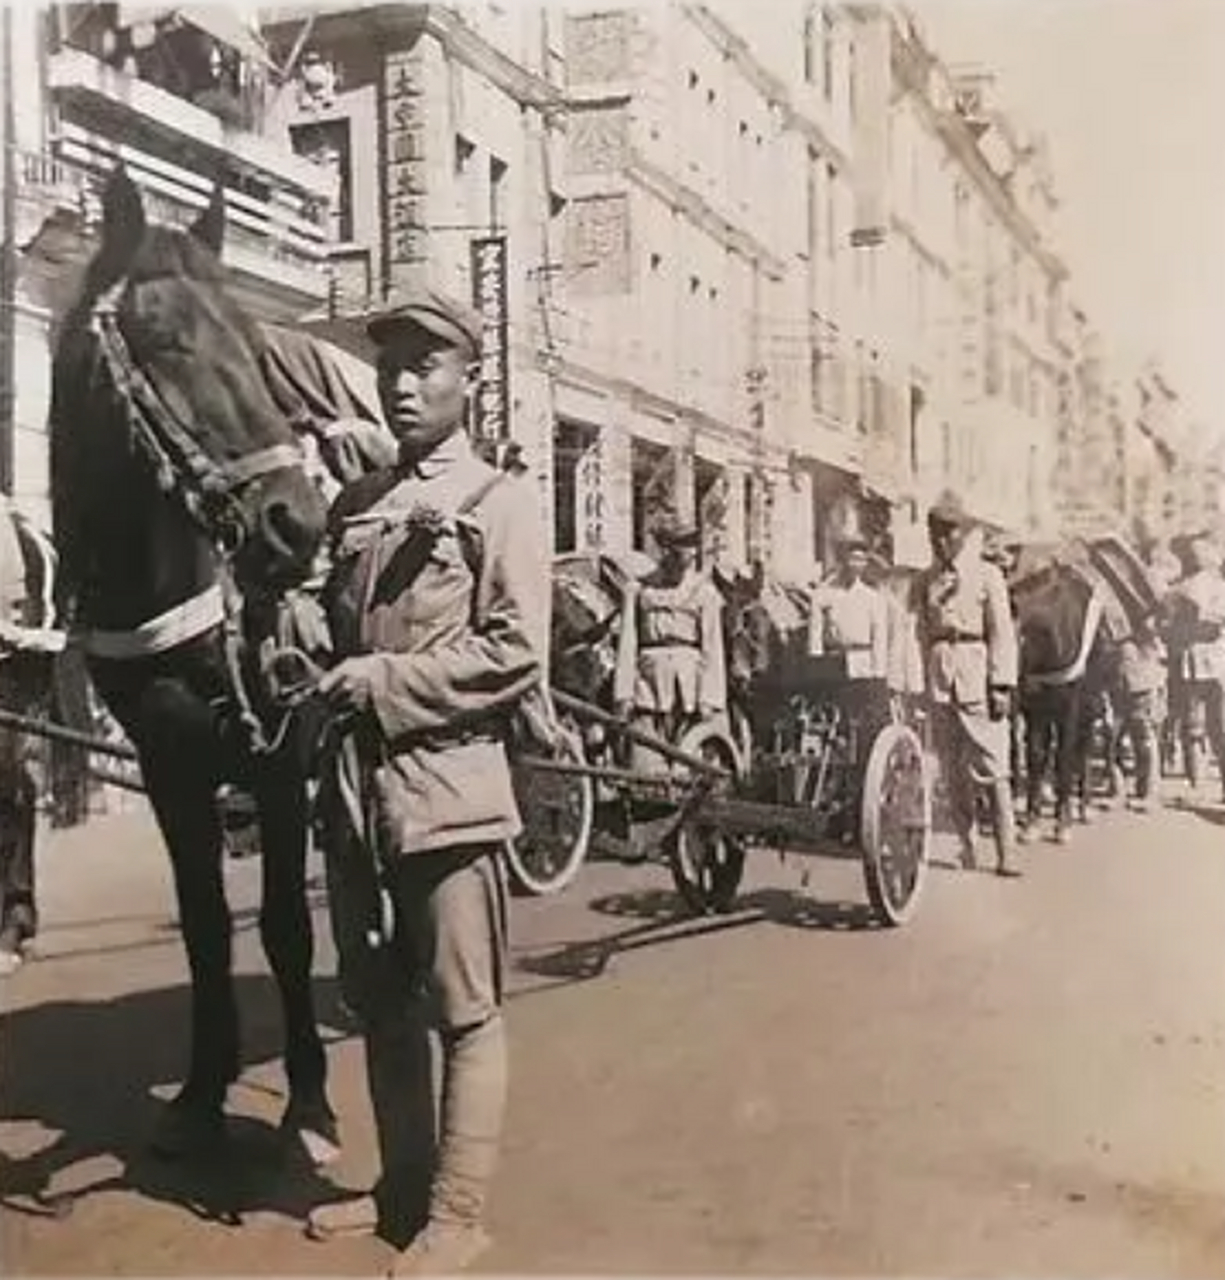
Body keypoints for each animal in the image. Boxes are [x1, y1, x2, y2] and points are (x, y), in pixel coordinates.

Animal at [49, 170, 337, 1162]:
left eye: (256, 346)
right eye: (167, 337)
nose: (298, 524)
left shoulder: (282, 758)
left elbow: (285, 926)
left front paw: (308, 1105)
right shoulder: (171, 766)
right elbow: (208, 930)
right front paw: (202, 1094)